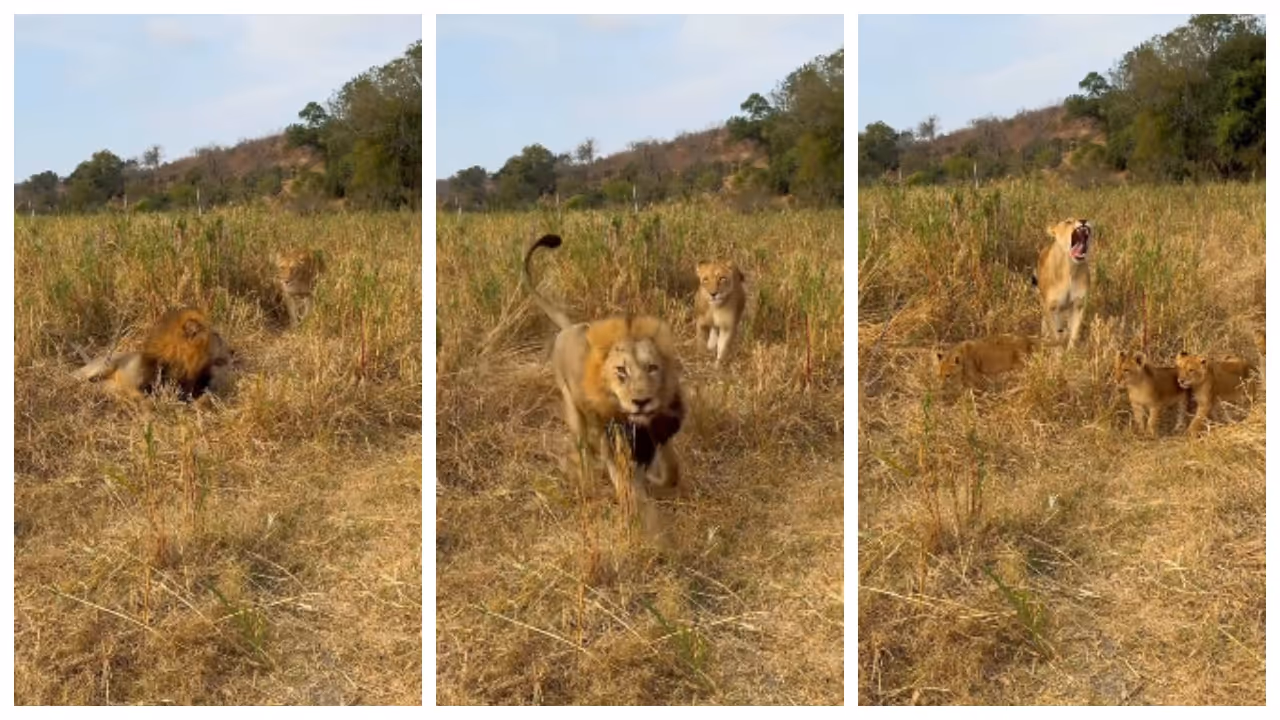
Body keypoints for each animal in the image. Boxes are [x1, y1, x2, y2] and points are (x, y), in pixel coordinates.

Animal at [74, 307, 235, 403]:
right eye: (217, 336)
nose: (232, 351)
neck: (189, 366)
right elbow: (142, 397)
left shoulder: (199, 388)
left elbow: (205, 397)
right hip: (103, 367)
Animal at [523, 233, 685, 500]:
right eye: (621, 371)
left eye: (652, 367)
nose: (641, 401)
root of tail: (569, 327)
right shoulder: (607, 431)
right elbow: (623, 479)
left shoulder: (656, 425)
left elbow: (672, 469)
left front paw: (657, 480)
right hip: (573, 408)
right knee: (582, 445)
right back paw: (588, 480)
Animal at [1031, 219, 1093, 350]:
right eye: (1068, 221)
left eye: (1084, 218)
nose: (1083, 221)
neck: (1070, 269)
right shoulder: (1050, 306)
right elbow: (1054, 334)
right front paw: (1058, 351)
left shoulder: (1078, 305)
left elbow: (1074, 332)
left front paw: (1071, 351)